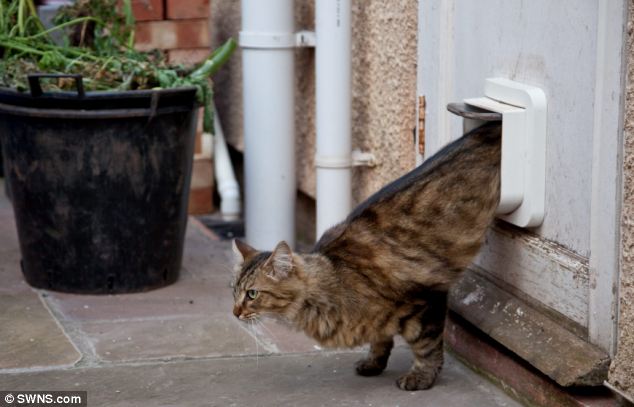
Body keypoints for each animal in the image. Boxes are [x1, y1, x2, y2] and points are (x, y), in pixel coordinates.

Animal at [230, 122, 502, 392]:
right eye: (234, 291)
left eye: (252, 294)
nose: (235, 313)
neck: (332, 281)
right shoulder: (382, 320)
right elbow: (380, 340)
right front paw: (373, 363)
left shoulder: (429, 298)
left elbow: (426, 348)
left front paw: (421, 377)